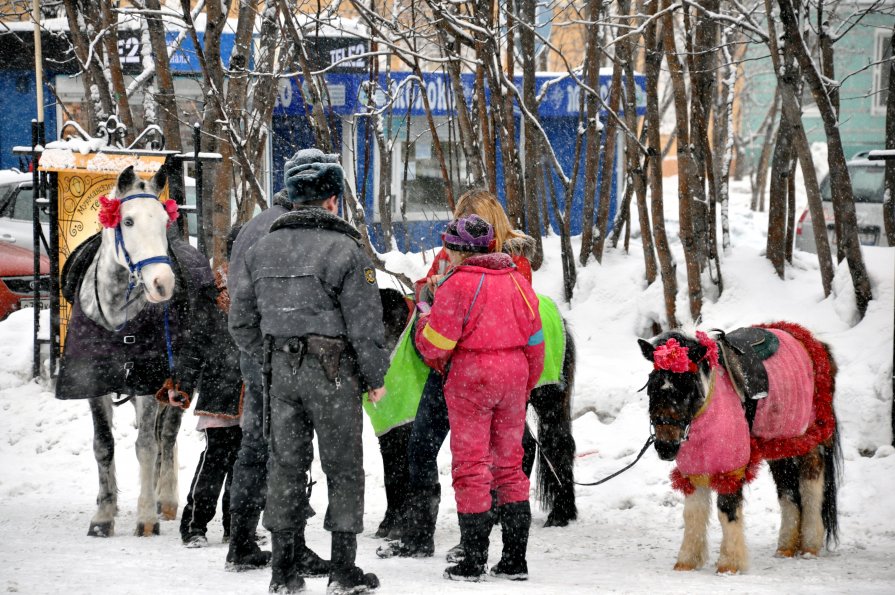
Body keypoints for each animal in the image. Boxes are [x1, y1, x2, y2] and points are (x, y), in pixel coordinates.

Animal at [60, 165, 182, 536]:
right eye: (127, 221)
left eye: (164, 221)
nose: (163, 283)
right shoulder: (93, 382)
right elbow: (103, 444)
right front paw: (103, 514)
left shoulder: (148, 383)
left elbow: (146, 445)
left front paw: (145, 517)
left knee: (166, 435)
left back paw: (164, 498)